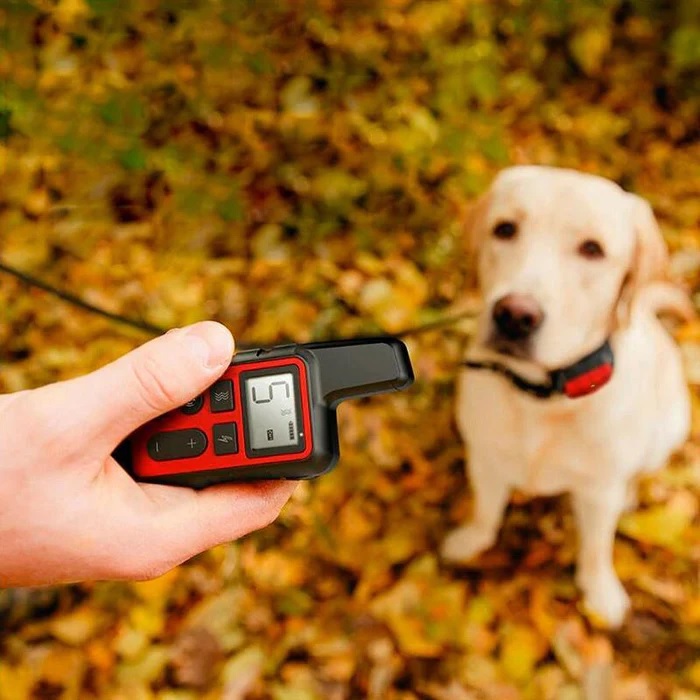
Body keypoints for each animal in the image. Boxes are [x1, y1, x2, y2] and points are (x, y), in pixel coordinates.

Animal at [440, 167, 692, 628]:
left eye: (593, 249)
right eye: (505, 229)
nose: (514, 315)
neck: (543, 398)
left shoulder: (597, 491)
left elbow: (595, 548)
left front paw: (601, 592)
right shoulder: (485, 462)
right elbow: (486, 512)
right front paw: (470, 541)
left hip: (670, 428)